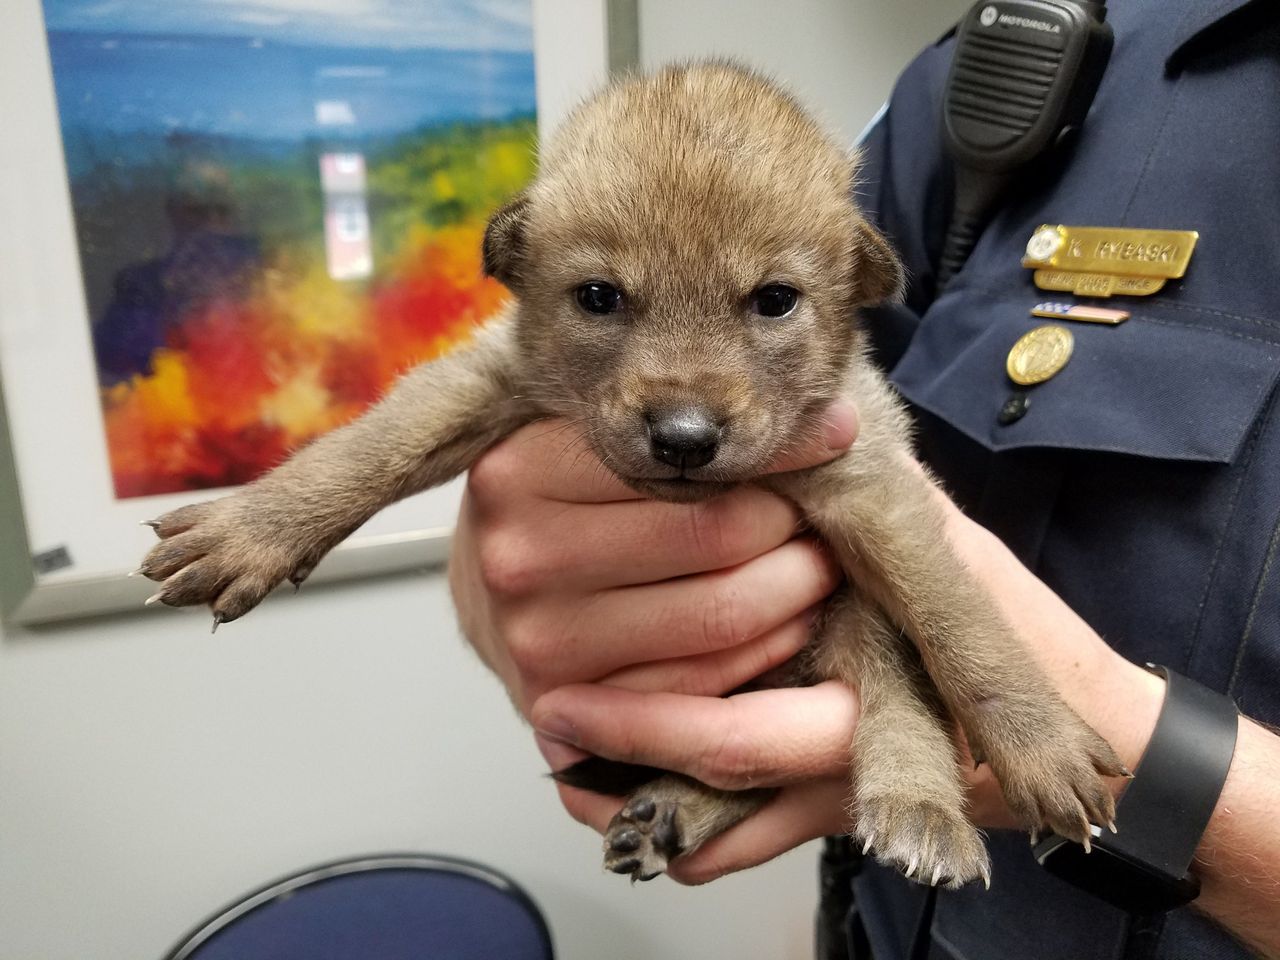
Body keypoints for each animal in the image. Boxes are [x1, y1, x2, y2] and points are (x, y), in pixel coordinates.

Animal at [137, 62, 1121, 885]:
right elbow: (368, 446)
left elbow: (962, 628)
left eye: (775, 300)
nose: (684, 437)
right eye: (599, 297)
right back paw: (676, 810)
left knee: (892, 697)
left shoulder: (874, 492)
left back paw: (914, 805)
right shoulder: (490, 378)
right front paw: (253, 530)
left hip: (849, 619)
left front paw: (1042, 745)